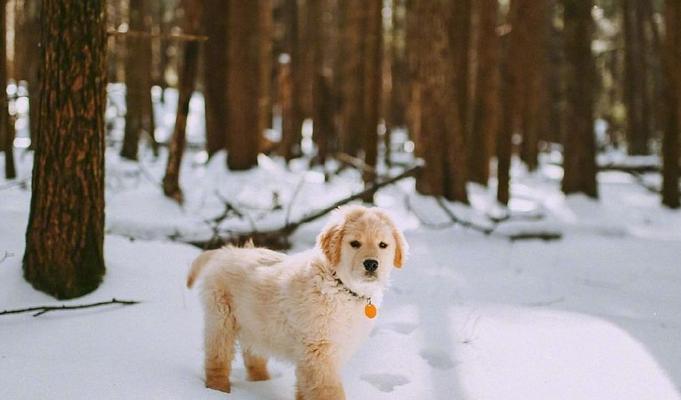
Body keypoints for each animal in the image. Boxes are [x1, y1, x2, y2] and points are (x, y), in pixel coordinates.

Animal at [186, 206, 406, 400]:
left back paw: (261, 381)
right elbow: (328, 391)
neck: (341, 286)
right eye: (355, 243)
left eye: (383, 245)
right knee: (217, 358)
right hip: (221, 318)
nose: (371, 264)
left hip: (255, 324)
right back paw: (218, 390)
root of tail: (226, 251)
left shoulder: (317, 354)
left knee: (253, 355)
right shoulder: (319, 353)